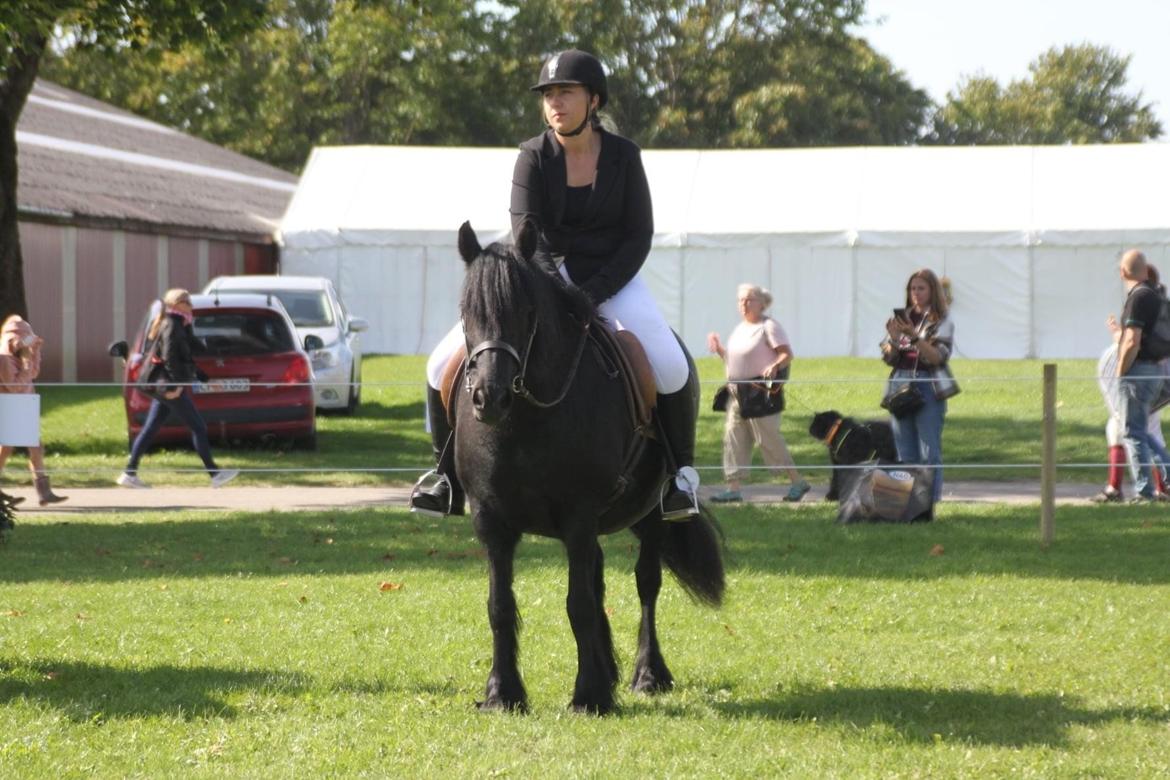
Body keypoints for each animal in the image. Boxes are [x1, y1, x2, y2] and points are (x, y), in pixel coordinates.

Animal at [450, 220, 725, 715]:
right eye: (466, 312)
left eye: (526, 311)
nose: (488, 398)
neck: (525, 420)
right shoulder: (490, 520)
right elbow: (500, 606)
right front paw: (503, 693)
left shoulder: (578, 516)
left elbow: (577, 603)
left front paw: (588, 695)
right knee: (598, 584)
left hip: (652, 515)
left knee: (646, 583)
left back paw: (647, 674)